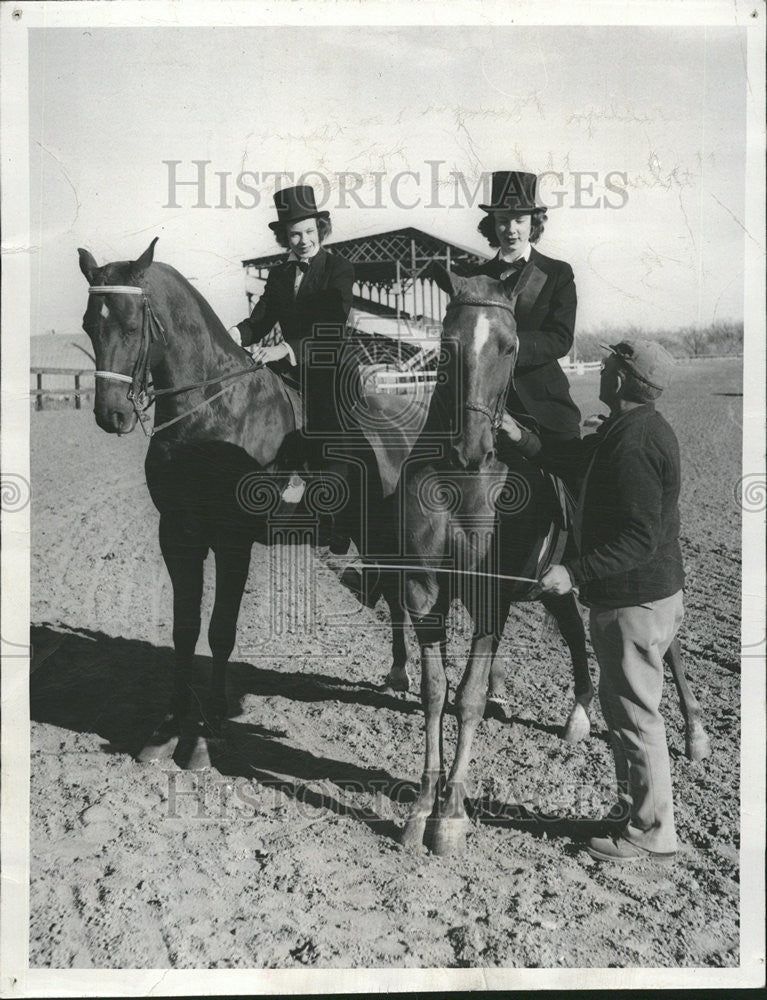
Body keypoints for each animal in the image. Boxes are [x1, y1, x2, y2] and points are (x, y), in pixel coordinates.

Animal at [79, 240, 412, 764]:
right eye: (89, 325)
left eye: (132, 325)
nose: (110, 415)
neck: (212, 409)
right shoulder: (178, 534)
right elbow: (184, 629)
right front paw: (170, 724)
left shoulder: (232, 539)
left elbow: (220, 630)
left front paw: (209, 728)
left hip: (385, 534)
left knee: (398, 595)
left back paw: (401, 671)